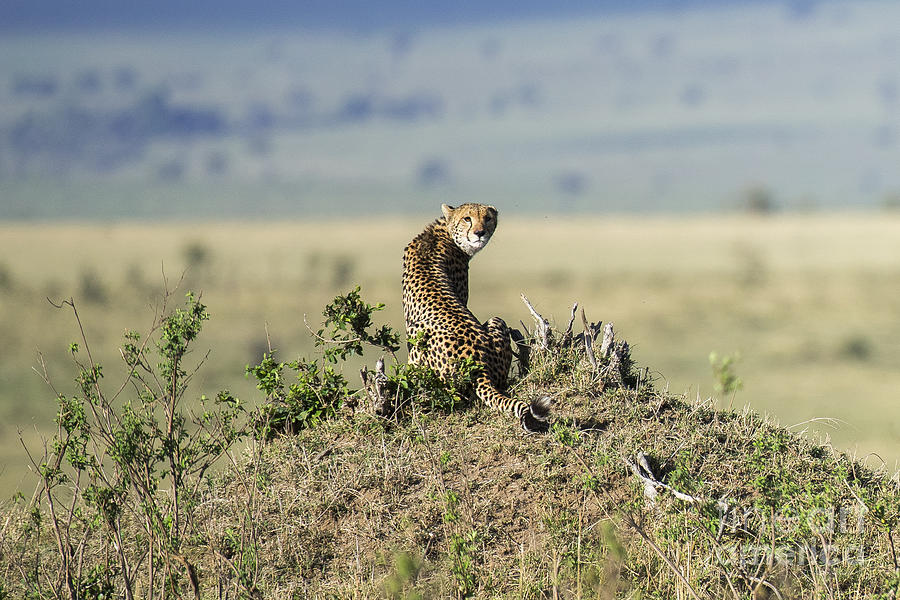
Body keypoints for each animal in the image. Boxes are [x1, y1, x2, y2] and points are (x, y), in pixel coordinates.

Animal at [404, 203, 552, 432]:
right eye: (467, 218)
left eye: (487, 218)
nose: (480, 232)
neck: (444, 232)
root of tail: (480, 362)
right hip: (496, 320)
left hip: (418, 330)